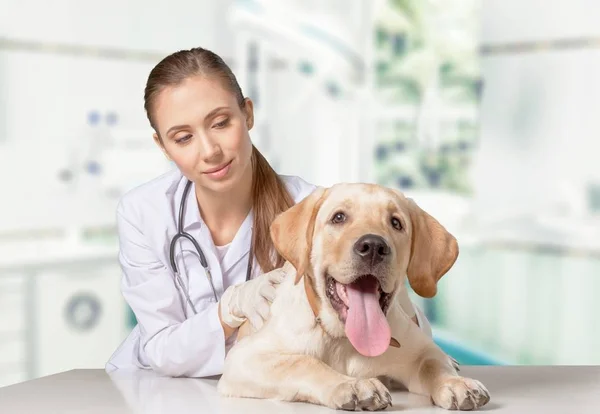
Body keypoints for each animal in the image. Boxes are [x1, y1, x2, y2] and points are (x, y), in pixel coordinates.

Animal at [218, 184, 490, 410]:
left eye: (396, 223)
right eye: (338, 217)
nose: (374, 247)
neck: (343, 340)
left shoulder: (419, 350)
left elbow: (433, 363)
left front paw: (455, 383)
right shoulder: (245, 358)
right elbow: (303, 362)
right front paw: (352, 385)